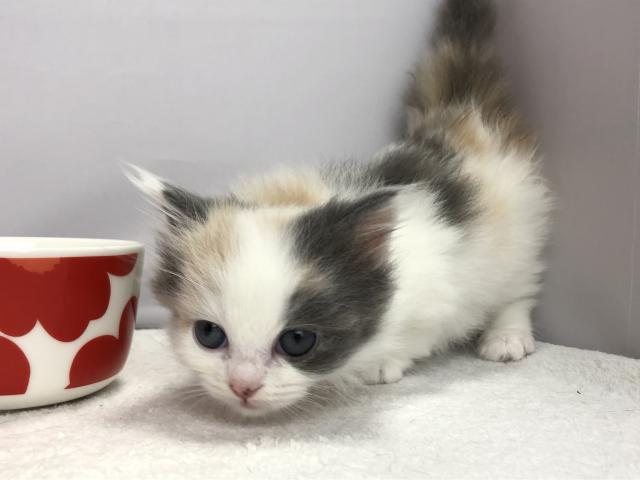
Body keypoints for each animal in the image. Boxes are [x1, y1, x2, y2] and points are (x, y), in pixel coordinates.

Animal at [127, 0, 551, 417]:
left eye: (298, 340)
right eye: (209, 335)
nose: (242, 386)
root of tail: (463, 120)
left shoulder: (439, 285)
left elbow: (420, 332)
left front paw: (382, 363)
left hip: (517, 233)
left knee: (519, 287)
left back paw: (507, 337)